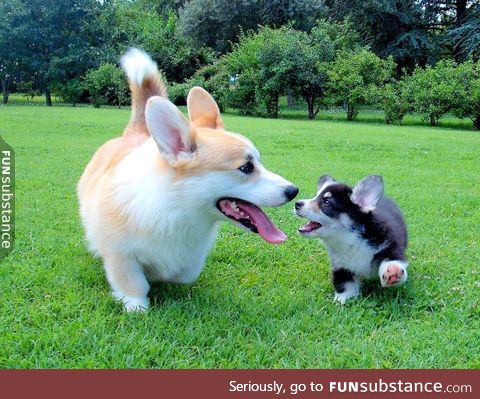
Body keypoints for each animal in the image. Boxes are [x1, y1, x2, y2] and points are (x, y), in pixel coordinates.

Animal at [77, 48, 298, 312]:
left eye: (259, 163)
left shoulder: (193, 256)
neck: (178, 206)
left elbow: (184, 273)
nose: (293, 191)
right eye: (246, 167)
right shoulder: (121, 254)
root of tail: (137, 132)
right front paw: (136, 306)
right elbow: (134, 284)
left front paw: (163, 275)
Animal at [294, 175, 406, 304]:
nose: (297, 203)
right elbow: (345, 284)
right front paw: (342, 300)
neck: (351, 239)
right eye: (316, 196)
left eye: (326, 202)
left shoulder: (390, 244)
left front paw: (392, 271)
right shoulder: (341, 266)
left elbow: (391, 258)